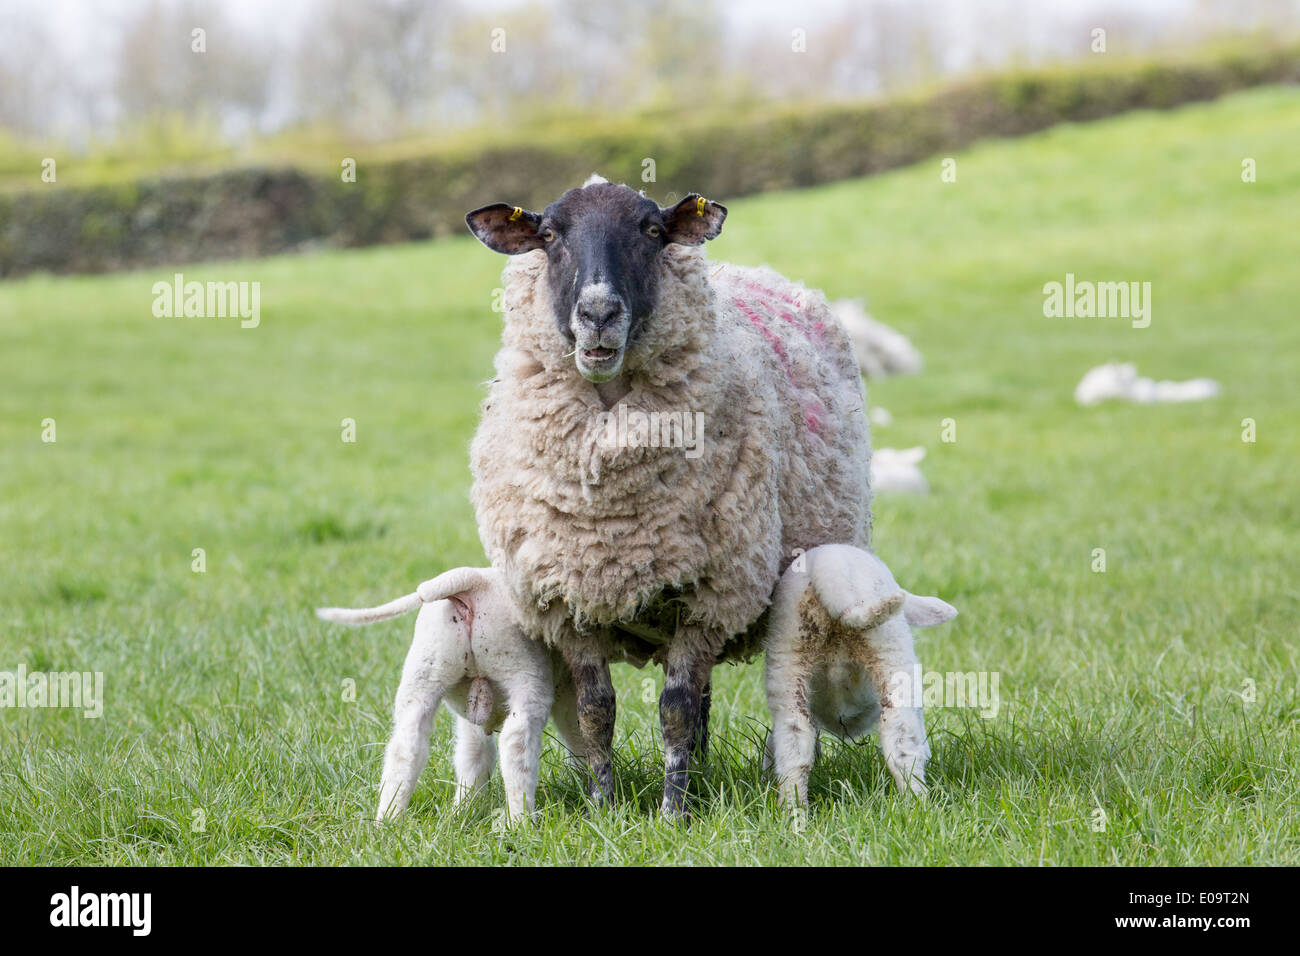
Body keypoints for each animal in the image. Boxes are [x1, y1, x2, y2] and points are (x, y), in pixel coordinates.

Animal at [317, 567, 582, 822]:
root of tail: (475, 580)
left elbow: (473, 755)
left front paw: (465, 810)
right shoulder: (568, 688)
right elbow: (576, 733)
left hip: (424, 672)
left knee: (406, 746)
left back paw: (389, 820)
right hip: (524, 672)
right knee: (517, 742)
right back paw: (521, 822)